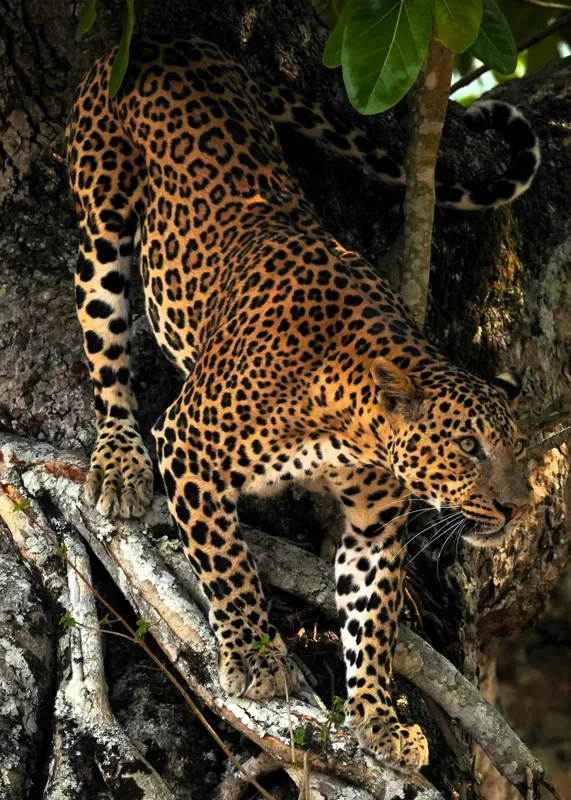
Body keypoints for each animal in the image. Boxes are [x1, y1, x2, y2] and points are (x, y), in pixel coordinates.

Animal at [66, 35, 537, 771]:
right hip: (102, 218)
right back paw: (117, 464)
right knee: (103, 343)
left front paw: (378, 719)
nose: (519, 509)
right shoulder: (188, 445)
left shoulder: (373, 525)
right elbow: (226, 563)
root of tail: (167, 39)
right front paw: (254, 659)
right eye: (468, 447)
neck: (349, 421)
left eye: (516, 450)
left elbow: (371, 621)